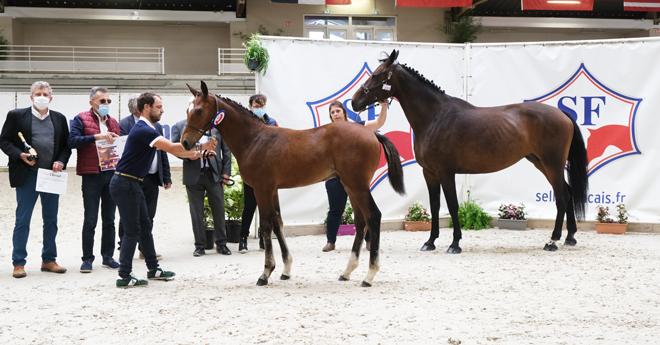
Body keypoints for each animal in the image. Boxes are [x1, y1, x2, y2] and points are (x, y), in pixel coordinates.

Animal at [182, 80, 408, 284]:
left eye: (199, 111)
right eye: (187, 110)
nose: (185, 142)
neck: (254, 139)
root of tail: (372, 133)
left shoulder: (262, 189)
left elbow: (266, 226)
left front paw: (265, 273)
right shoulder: (272, 190)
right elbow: (278, 223)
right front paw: (286, 270)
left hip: (357, 186)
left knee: (373, 216)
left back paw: (369, 275)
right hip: (350, 186)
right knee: (361, 221)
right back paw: (346, 272)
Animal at [350, 49, 588, 253]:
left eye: (376, 75)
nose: (354, 102)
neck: (435, 117)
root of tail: (561, 113)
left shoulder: (446, 172)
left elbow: (452, 205)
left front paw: (455, 243)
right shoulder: (430, 173)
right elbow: (435, 206)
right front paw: (430, 242)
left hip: (552, 163)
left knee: (562, 195)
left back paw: (553, 241)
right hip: (540, 162)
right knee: (567, 192)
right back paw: (570, 237)